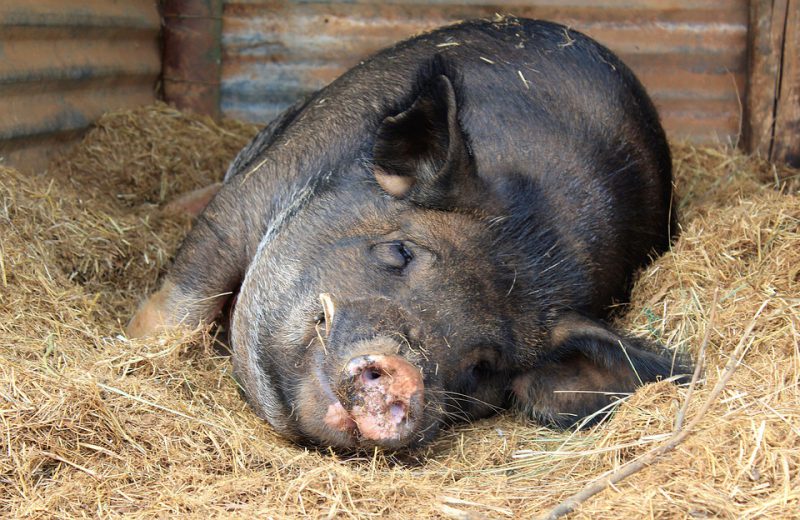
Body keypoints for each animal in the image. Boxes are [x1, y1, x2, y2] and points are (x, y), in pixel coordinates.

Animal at [130, 18, 688, 450]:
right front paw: (130, 349)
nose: (407, 375)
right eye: (400, 251)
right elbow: (182, 305)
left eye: (483, 365)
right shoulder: (254, 194)